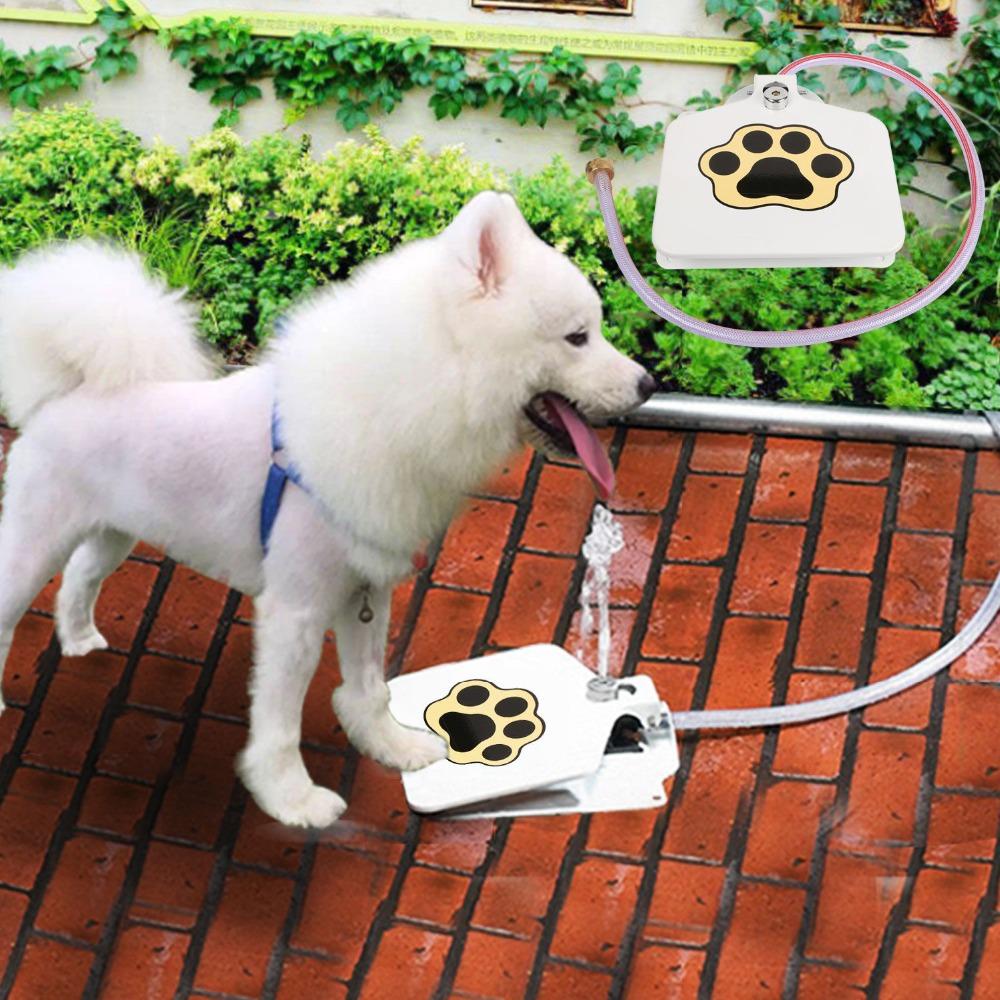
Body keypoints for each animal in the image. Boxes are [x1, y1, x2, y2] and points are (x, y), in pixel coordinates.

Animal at [0, 189, 652, 828]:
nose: (647, 384)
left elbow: (369, 688)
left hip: (115, 532)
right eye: (577, 337)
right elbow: (280, 727)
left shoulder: (366, 587)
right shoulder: (296, 609)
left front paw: (391, 747)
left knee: (80, 576)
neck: (411, 400)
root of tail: (68, 392)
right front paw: (292, 802)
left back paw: (80, 640)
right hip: (34, 545)